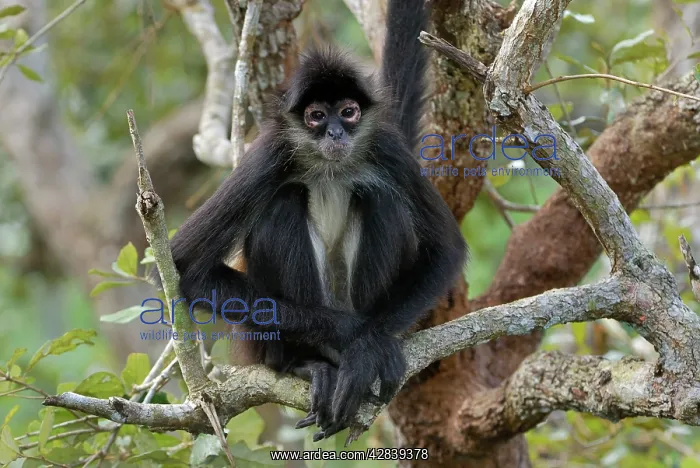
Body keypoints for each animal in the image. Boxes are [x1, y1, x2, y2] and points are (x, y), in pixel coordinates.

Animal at [158, 0, 467, 440]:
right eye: (317, 116)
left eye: (349, 112)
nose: (336, 133)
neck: (329, 168)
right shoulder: (268, 155)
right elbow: (185, 267)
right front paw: (357, 338)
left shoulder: (387, 149)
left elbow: (446, 251)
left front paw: (369, 346)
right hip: (261, 337)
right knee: (284, 202)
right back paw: (304, 364)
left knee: (379, 198)